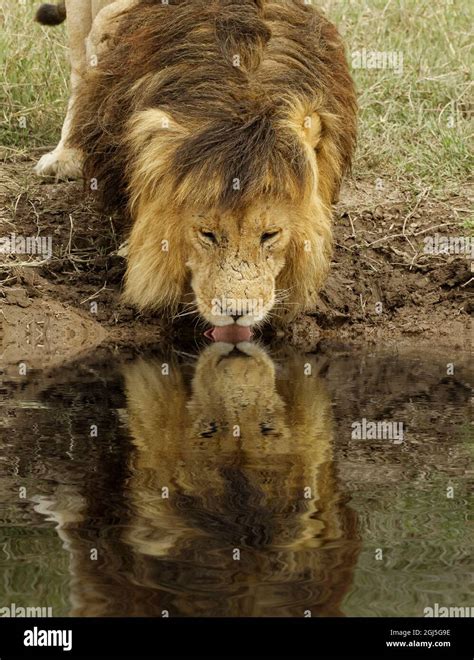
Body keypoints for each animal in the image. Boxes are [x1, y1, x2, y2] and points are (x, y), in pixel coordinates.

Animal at [37, 0, 358, 338]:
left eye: (269, 235)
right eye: (207, 235)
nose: (236, 313)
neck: (245, 93)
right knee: (79, 69)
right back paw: (64, 155)